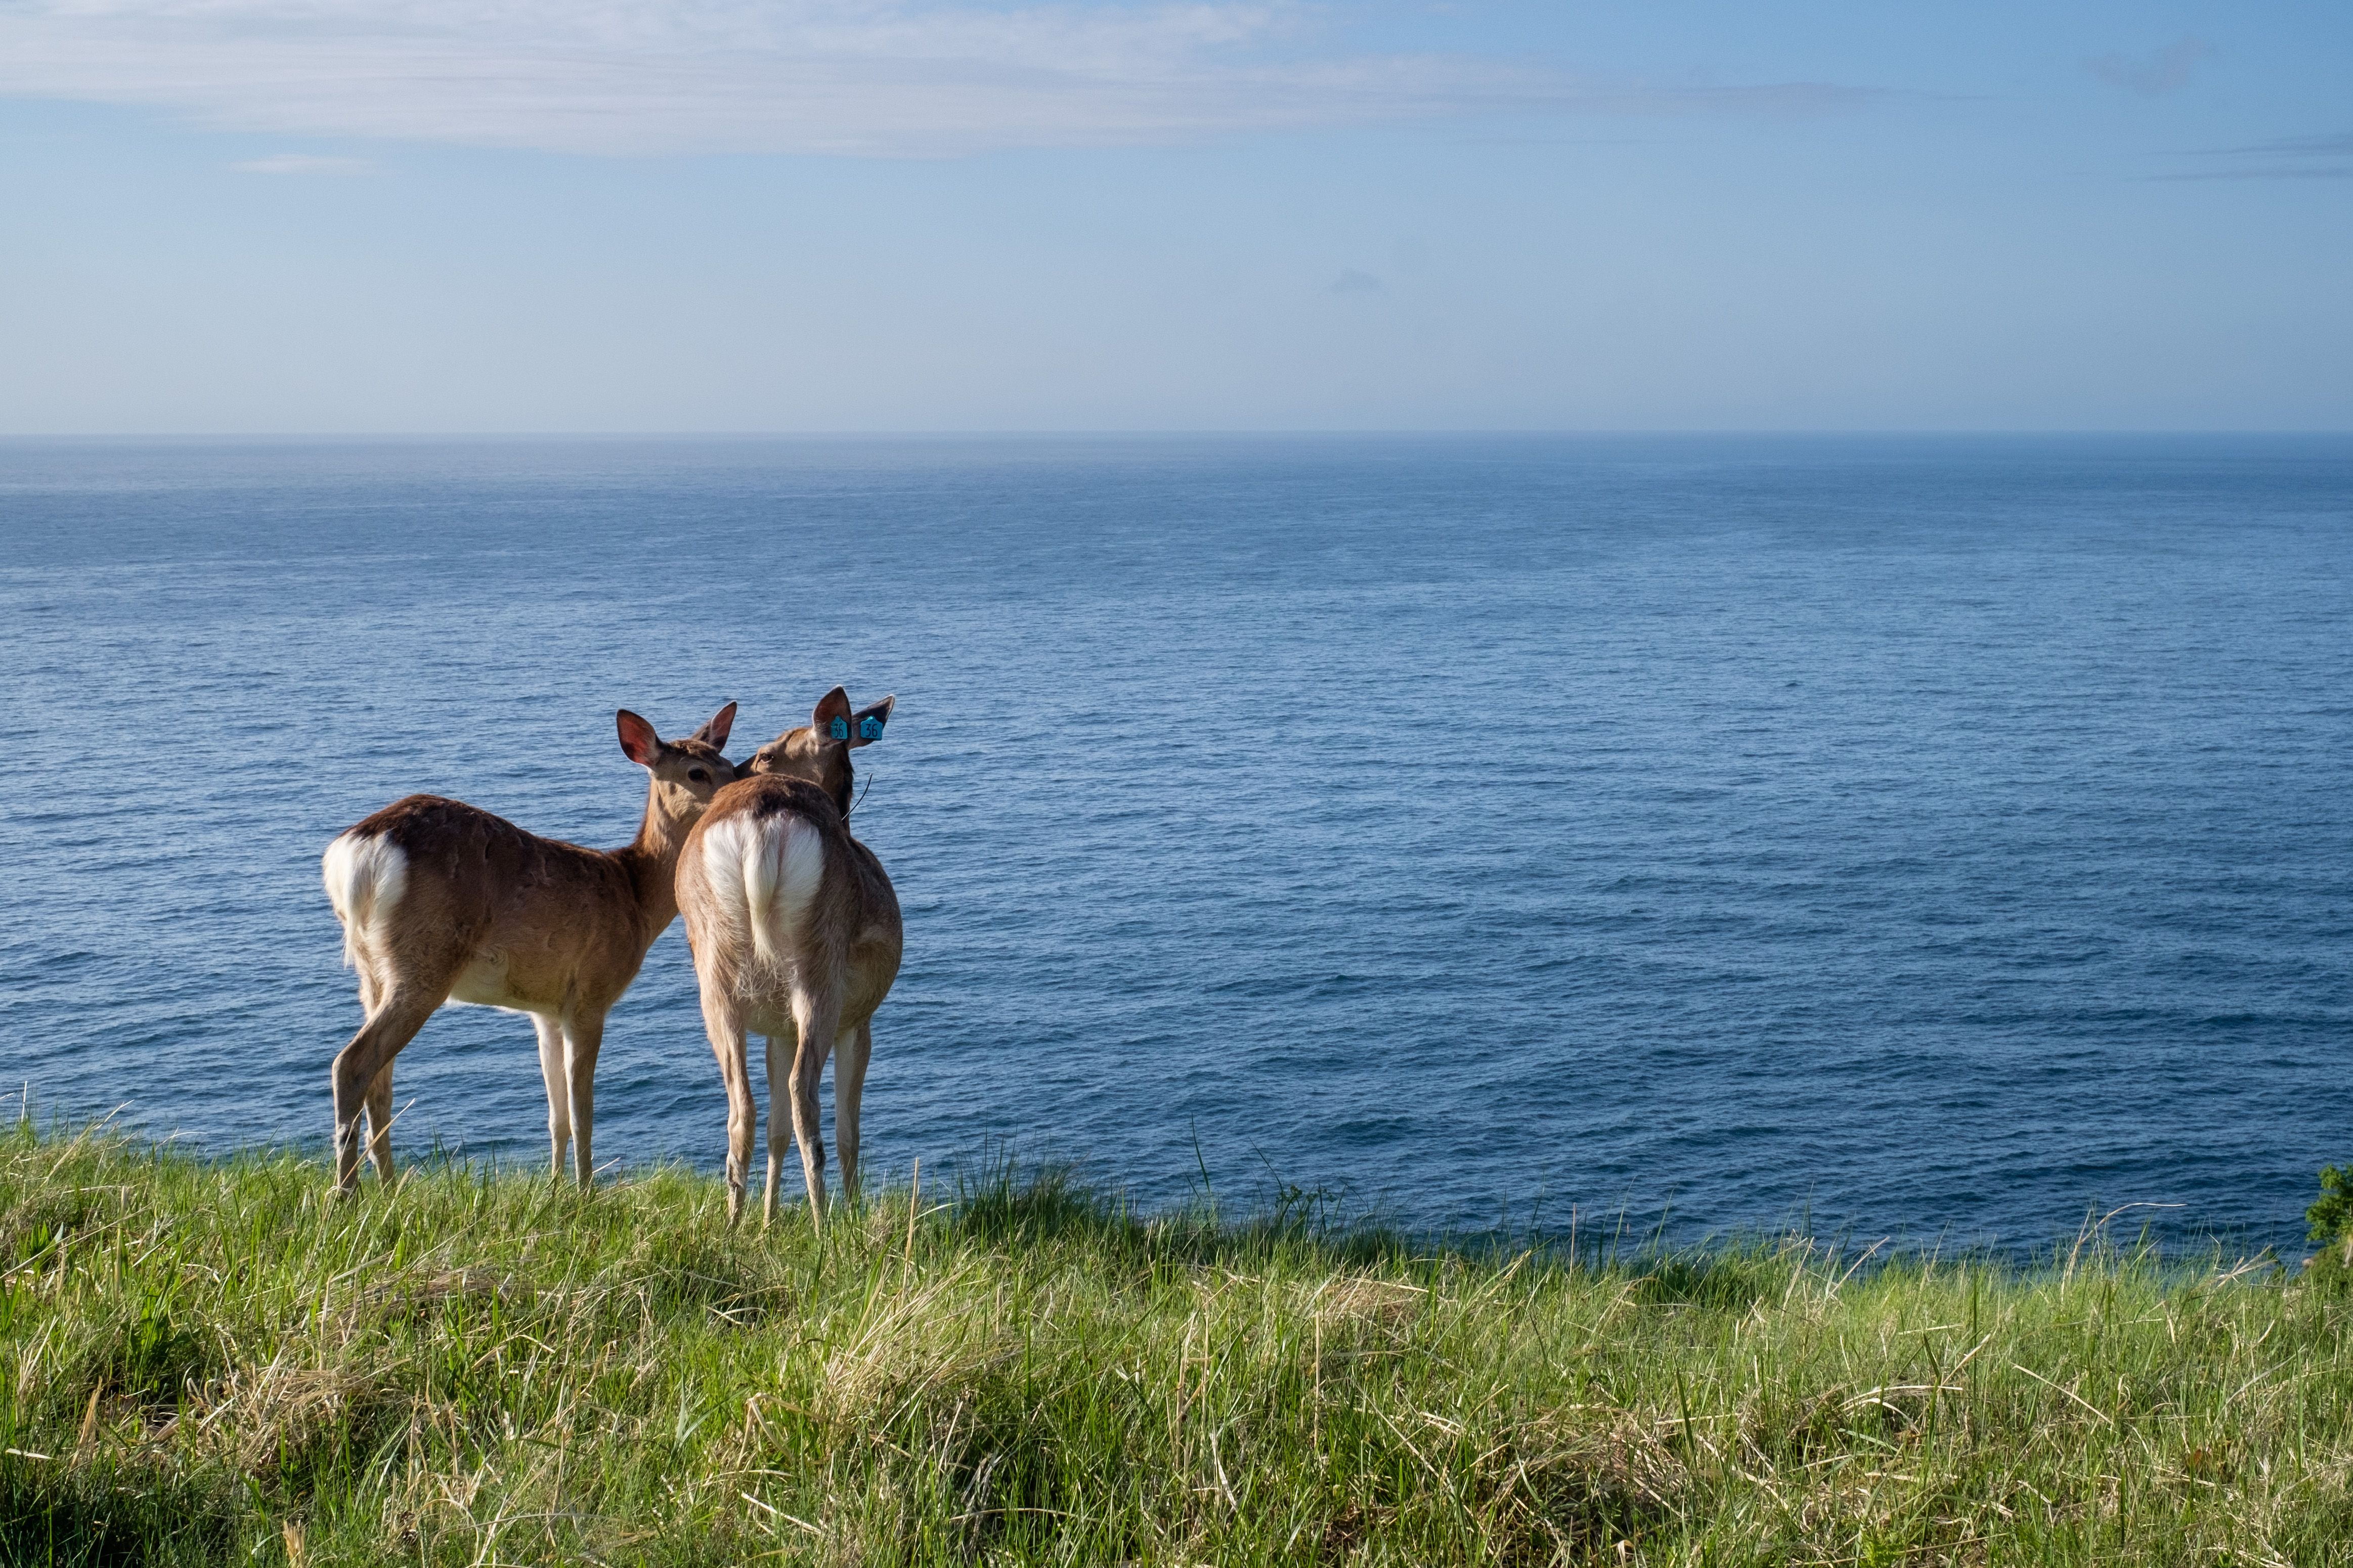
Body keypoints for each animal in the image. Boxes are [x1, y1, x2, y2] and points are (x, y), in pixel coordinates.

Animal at [319, 704, 738, 1196]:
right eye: (696, 772)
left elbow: (557, 1116)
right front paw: (585, 1193)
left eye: (730, 764)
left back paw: (388, 1188)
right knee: (353, 1063)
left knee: (379, 1079)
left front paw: (556, 1188)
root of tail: (355, 853)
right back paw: (347, 1195)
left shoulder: (546, 1009)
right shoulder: (590, 994)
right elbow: (582, 1113)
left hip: (374, 969)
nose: (740, 787)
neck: (633, 894)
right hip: (425, 957)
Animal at [676, 687, 900, 1229]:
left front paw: (768, 1222)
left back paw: (734, 1225)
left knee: (743, 1106)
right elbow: (849, 1132)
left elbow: (775, 1128)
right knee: (805, 1097)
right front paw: (850, 1211)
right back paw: (826, 1228)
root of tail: (760, 824)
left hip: (718, 980)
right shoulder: (859, 1018)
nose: (734, 773)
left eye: (764, 753)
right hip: (822, 975)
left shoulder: (776, 1028)